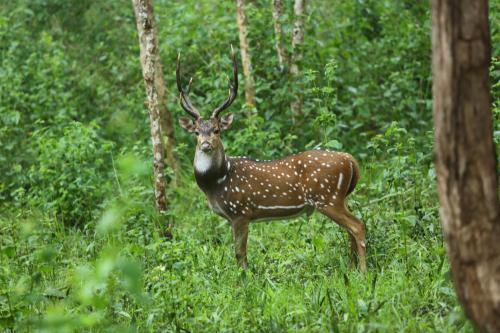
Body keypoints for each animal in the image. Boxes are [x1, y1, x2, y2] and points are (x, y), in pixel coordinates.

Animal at [177, 50, 368, 272]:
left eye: (217, 130)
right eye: (197, 132)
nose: (206, 144)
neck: (216, 182)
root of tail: (350, 160)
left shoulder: (240, 211)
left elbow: (240, 254)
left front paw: (244, 278)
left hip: (327, 197)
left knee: (357, 225)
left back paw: (363, 272)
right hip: (339, 197)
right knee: (350, 229)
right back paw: (352, 268)